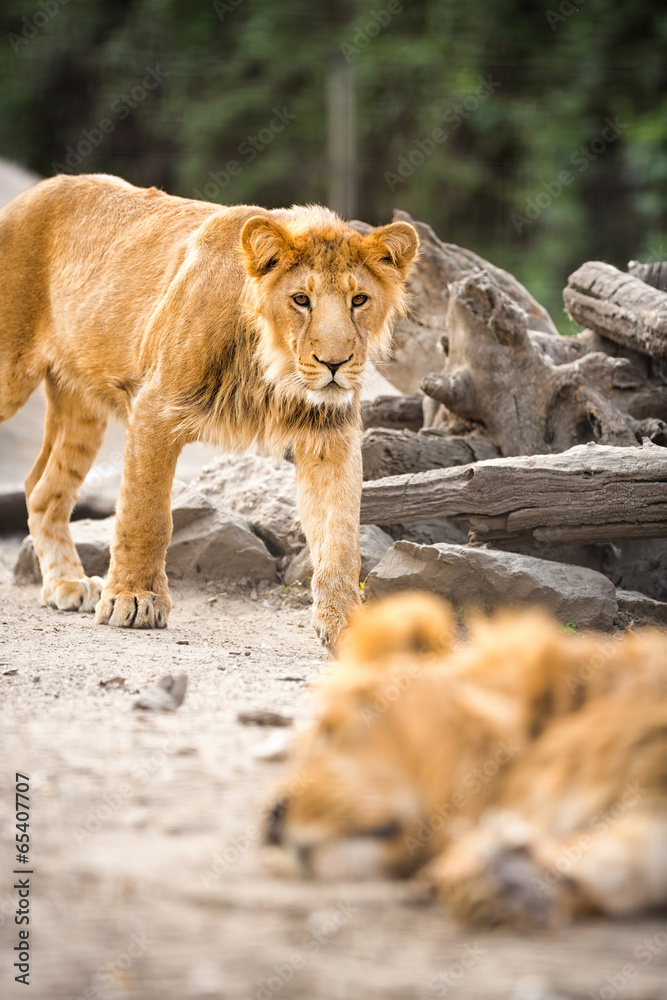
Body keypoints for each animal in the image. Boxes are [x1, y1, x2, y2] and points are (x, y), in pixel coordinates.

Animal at [0, 173, 418, 645]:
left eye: (359, 300)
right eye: (300, 300)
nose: (335, 363)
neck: (273, 372)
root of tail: (30, 193)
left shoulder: (330, 434)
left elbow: (341, 535)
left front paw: (346, 620)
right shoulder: (154, 407)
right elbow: (145, 515)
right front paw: (134, 598)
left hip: (82, 403)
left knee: (42, 488)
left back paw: (66, 584)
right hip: (11, 376)